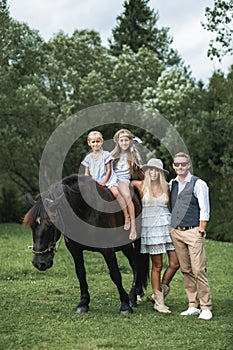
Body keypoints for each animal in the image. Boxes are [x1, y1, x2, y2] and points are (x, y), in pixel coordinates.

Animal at [24, 175, 149, 314]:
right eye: (32, 226)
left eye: (51, 224)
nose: (39, 263)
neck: (87, 211)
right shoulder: (75, 249)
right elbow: (80, 273)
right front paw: (83, 303)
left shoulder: (108, 250)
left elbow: (115, 274)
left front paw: (125, 305)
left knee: (136, 264)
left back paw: (133, 296)